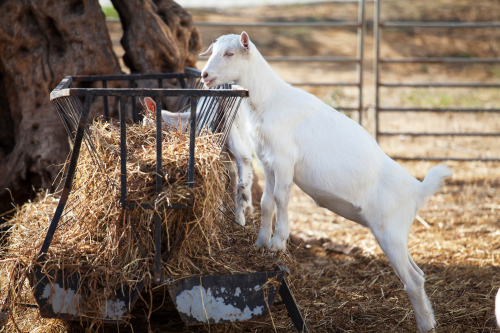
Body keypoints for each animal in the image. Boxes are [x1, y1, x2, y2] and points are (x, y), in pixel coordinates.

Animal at [199, 31, 454, 332]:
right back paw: (430, 320)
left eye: (230, 53)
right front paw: (261, 243)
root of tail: (419, 190)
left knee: (413, 280)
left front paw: (278, 242)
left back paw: (424, 325)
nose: (204, 75)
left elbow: (282, 199)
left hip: (390, 231)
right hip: (397, 234)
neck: (270, 100)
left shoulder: (284, 159)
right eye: (213, 50)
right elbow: (266, 202)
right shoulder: (268, 161)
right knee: (419, 273)